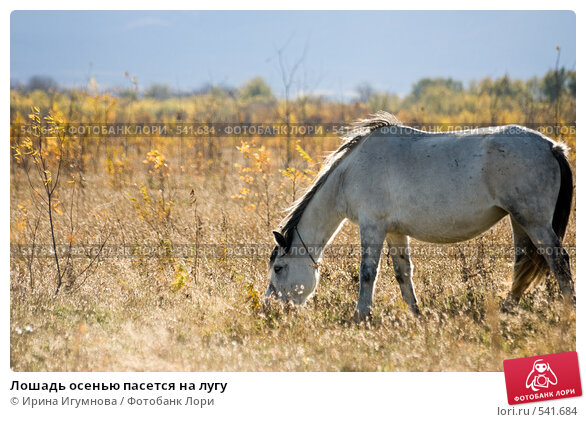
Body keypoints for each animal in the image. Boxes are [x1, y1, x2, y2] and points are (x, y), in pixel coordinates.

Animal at [266, 112, 572, 320]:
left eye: (278, 268)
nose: (271, 308)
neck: (350, 172)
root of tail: (551, 146)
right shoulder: (395, 231)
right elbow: (403, 273)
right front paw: (416, 313)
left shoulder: (372, 227)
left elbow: (368, 272)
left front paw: (361, 315)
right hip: (519, 221)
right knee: (522, 265)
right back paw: (507, 310)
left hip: (534, 222)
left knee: (559, 262)